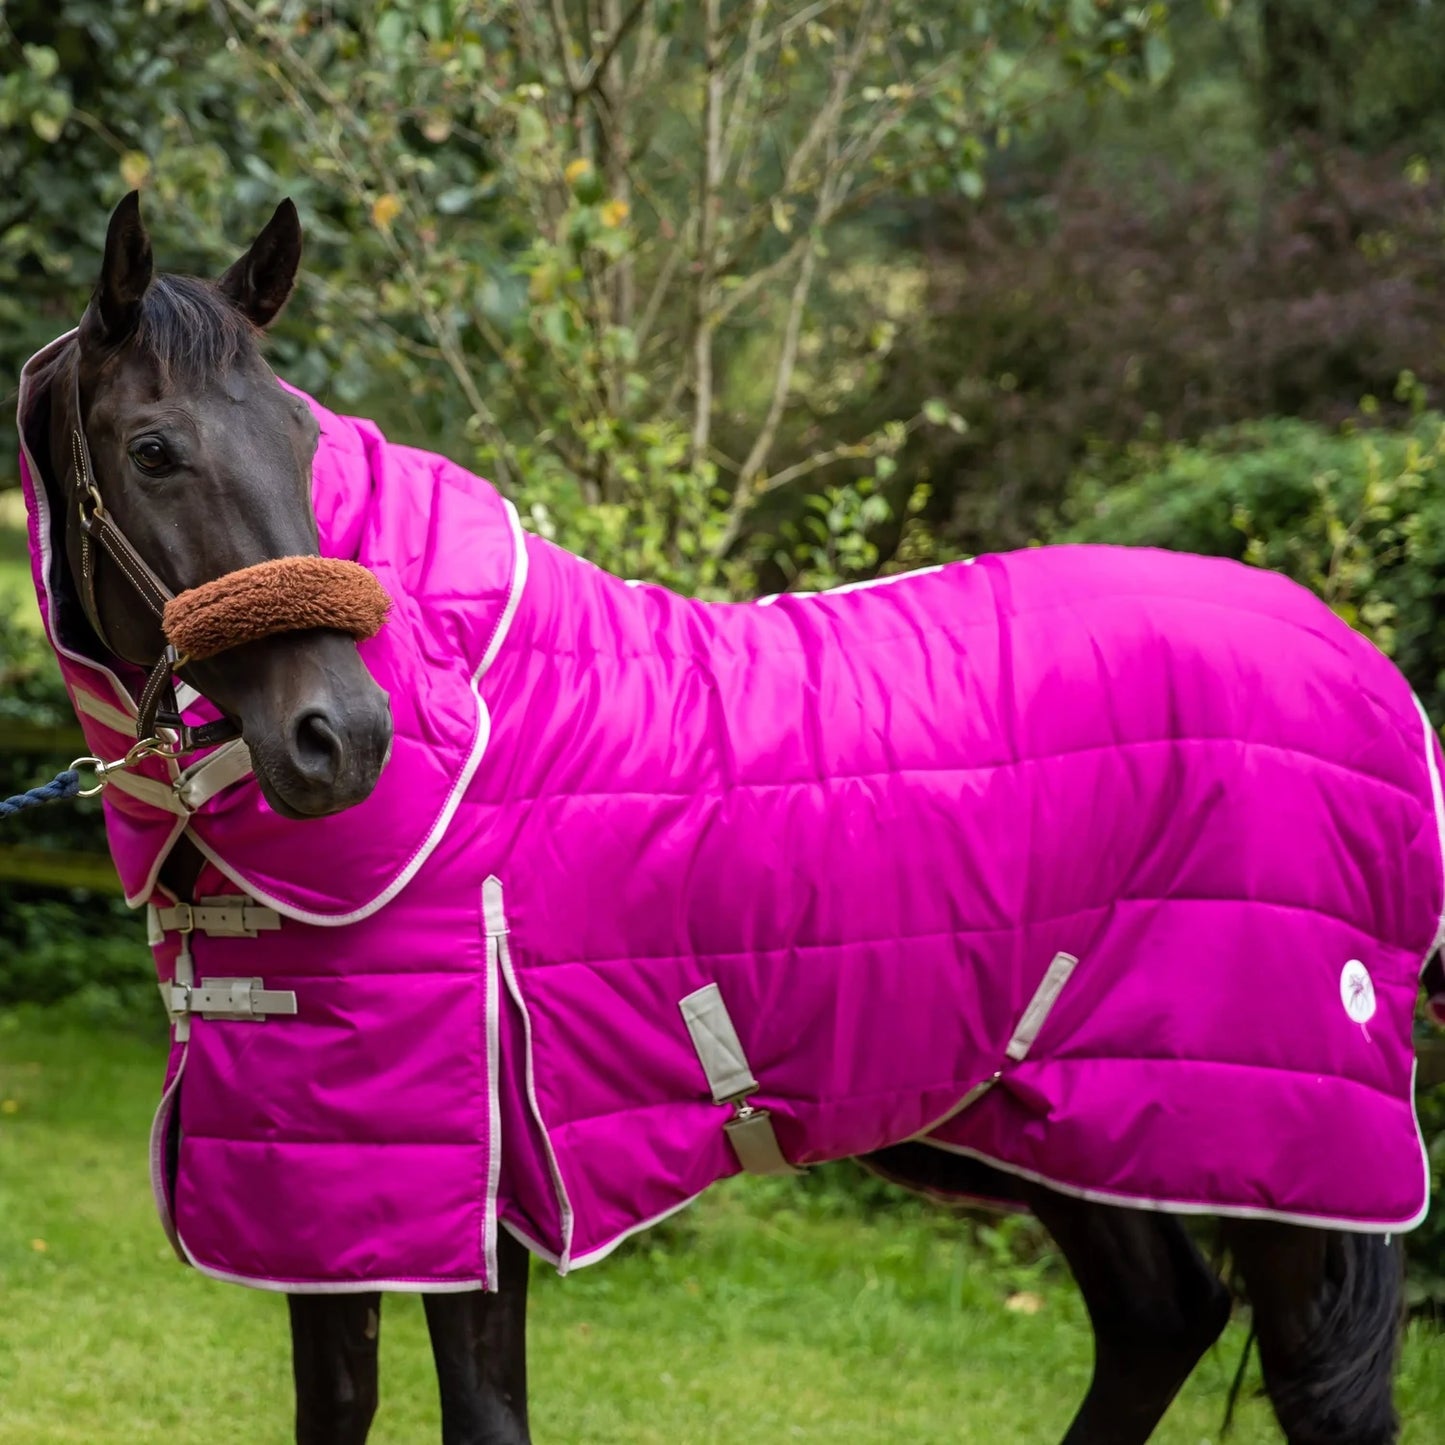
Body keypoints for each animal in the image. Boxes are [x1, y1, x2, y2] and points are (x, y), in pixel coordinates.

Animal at [14, 191, 1435, 1445]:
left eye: (306, 444)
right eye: (152, 449)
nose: (340, 735)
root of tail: (1366, 671)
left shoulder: (471, 1185)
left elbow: (482, 1416)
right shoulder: (315, 1194)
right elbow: (336, 1407)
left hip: (1274, 1151)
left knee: (1311, 1389)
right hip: (1066, 1112)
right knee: (1158, 1317)